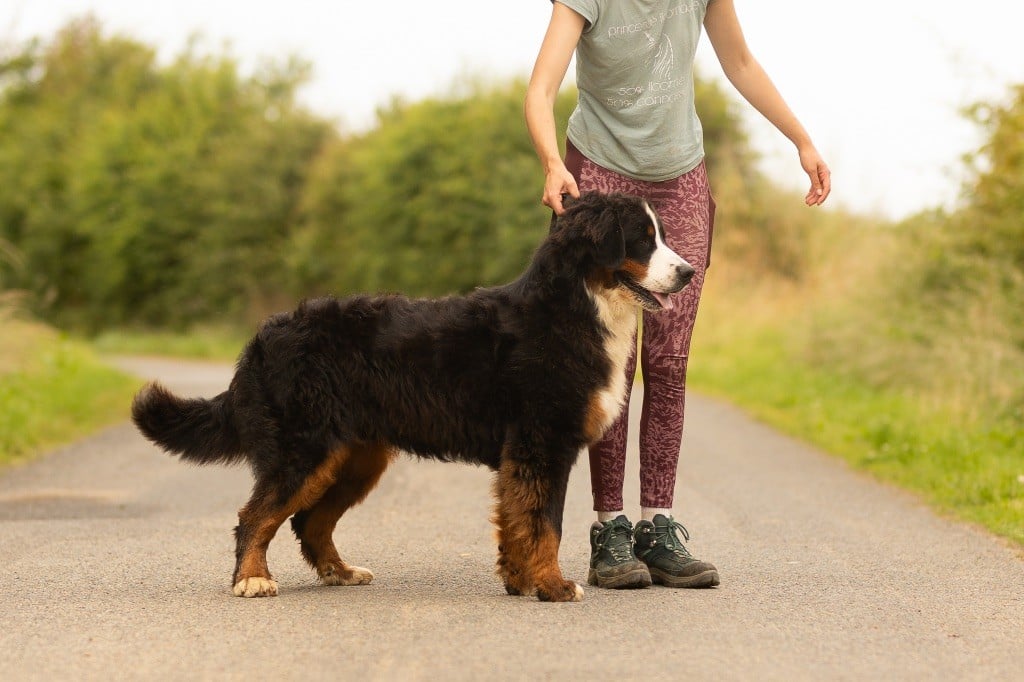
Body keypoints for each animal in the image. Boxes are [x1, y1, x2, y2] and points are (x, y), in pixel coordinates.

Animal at [132, 188, 696, 598]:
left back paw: (341, 572)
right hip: (304, 448)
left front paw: (519, 581)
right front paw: (553, 586)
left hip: (353, 458)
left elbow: (519, 519)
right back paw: (252, 579)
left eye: (661, 235)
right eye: (642, 239)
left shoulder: (523, 453)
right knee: (257, 516)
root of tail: (263, 337)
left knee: (310, 522)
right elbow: (544, 523)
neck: (576, 307)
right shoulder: (541, 442)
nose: (689, 272)